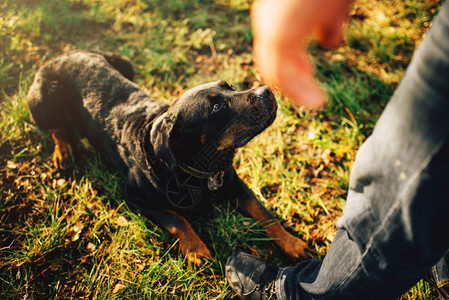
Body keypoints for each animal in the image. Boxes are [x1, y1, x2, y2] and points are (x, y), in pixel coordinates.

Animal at [27, 49, 308, 264]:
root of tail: (64, 54)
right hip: (43, 102)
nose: (266, 91)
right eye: (216, 107)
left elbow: (263, 212)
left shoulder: (233, 182)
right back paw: (62, 154)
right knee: (57, 129)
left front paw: (292, 243)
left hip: (125, 65)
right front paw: (196, 250)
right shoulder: (134, 197)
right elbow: (176, 218)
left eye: (229, 87)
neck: (199, 169)